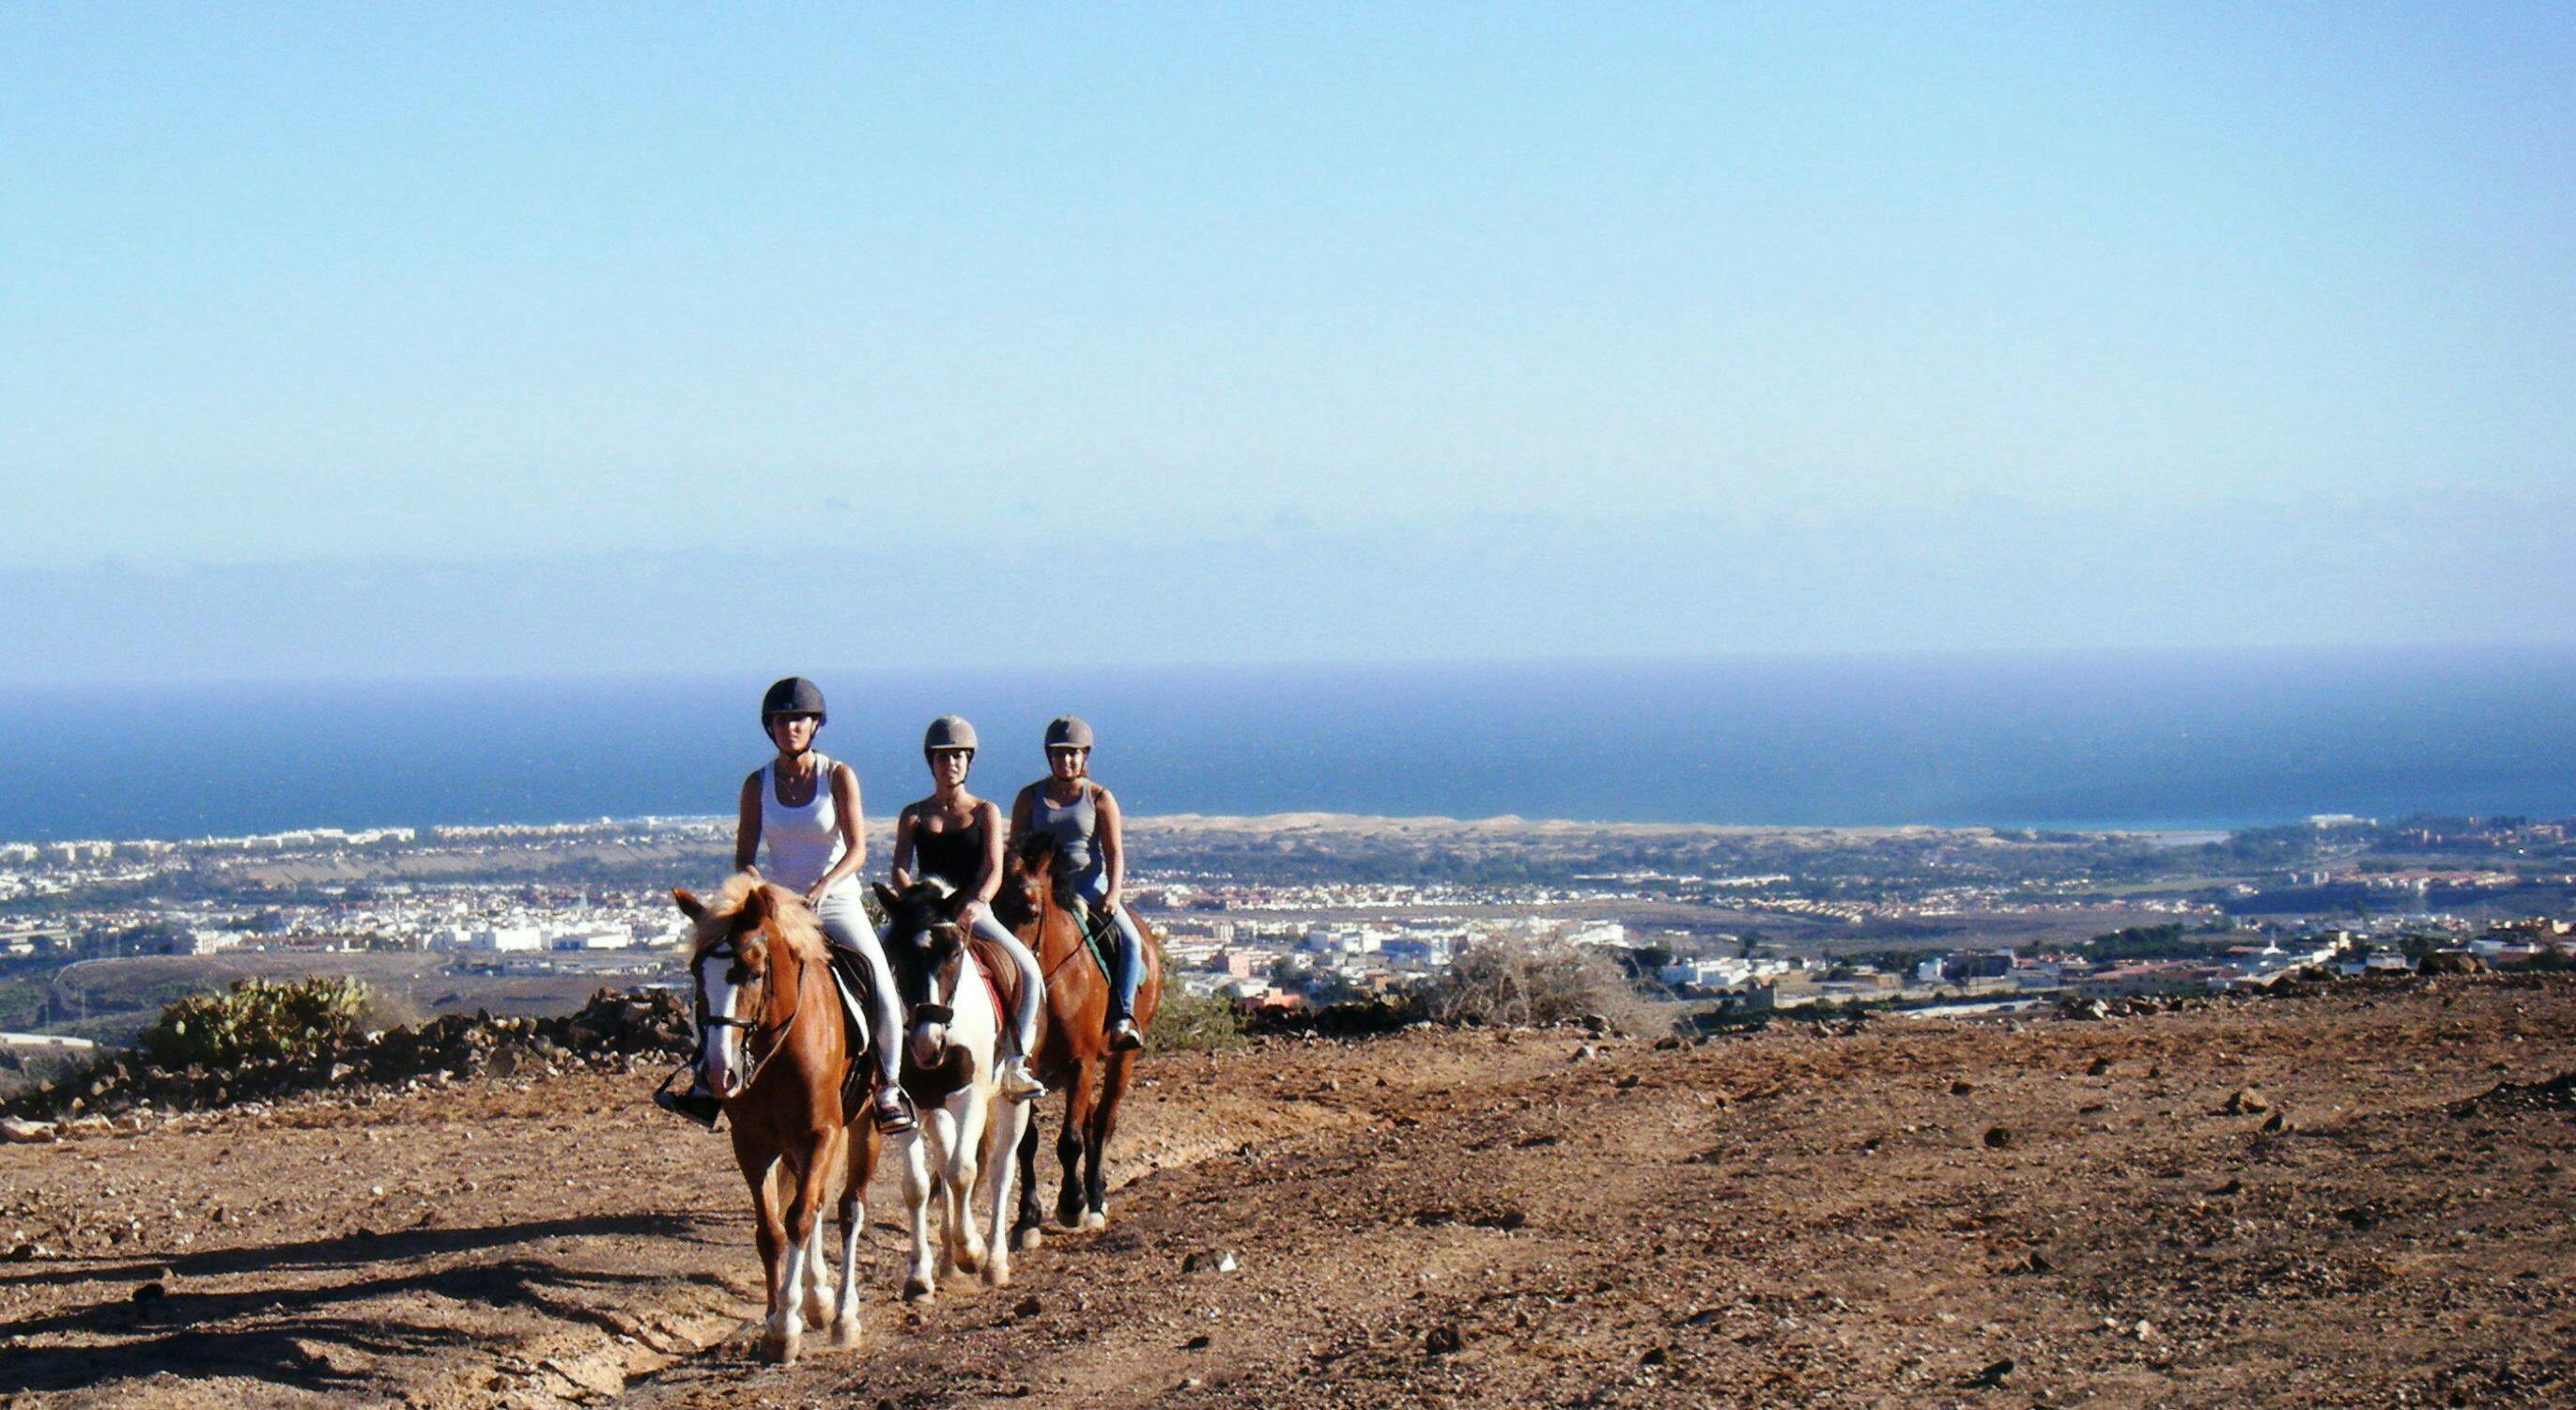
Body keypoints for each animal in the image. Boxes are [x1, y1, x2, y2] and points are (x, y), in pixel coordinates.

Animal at [674, 875, 886, 1360]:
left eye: (755, 973)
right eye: (696, 973)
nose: (719, 1074)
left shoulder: (821, 1134)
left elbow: (800, 1219)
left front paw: (787, 1324)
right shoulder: (753, 1144)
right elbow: (772, 1230)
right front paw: (774, 1322)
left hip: (863, 1125)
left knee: (849, 1209)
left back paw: (843, 1316)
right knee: (817, 1203)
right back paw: (819, 1299)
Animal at [865, 881, 1025, 1304]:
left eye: (954, 952)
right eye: (898, 953)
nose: (927, 1041)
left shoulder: (970, 1096)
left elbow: (962, 1171)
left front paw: (973, 1251)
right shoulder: (909, 1103)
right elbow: (918, 1186)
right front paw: (920, 1277)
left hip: (1011, 1101)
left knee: (1000, 1168)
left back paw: (993, 1261)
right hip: (937, 1108)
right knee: (944, 1156)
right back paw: (950, 1261)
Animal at [994, 840, 1169, 1247]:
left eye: (1031, 910)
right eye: (990, 906)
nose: (1007, 970)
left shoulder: (1081, 1062)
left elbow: (1070, 1139)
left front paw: (1072, 1204)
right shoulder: (1028, 1070)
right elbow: (1028, 1142)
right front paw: (1027, 1219)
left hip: (1123, 1057)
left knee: (1103, 1122)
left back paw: (1094, 1201)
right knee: (1091, 1120)